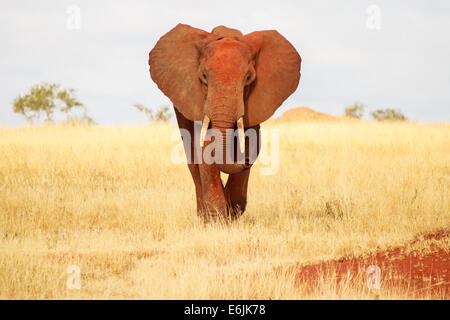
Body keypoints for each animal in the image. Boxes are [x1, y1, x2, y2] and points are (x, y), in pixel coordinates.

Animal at [149, 23, 302, 221]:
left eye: (248, 78)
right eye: (204, 76)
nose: (246, 160)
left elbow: (249, 138)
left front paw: (232, 214)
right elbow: (205, 145)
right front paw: (218, 221)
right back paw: (203, 216)